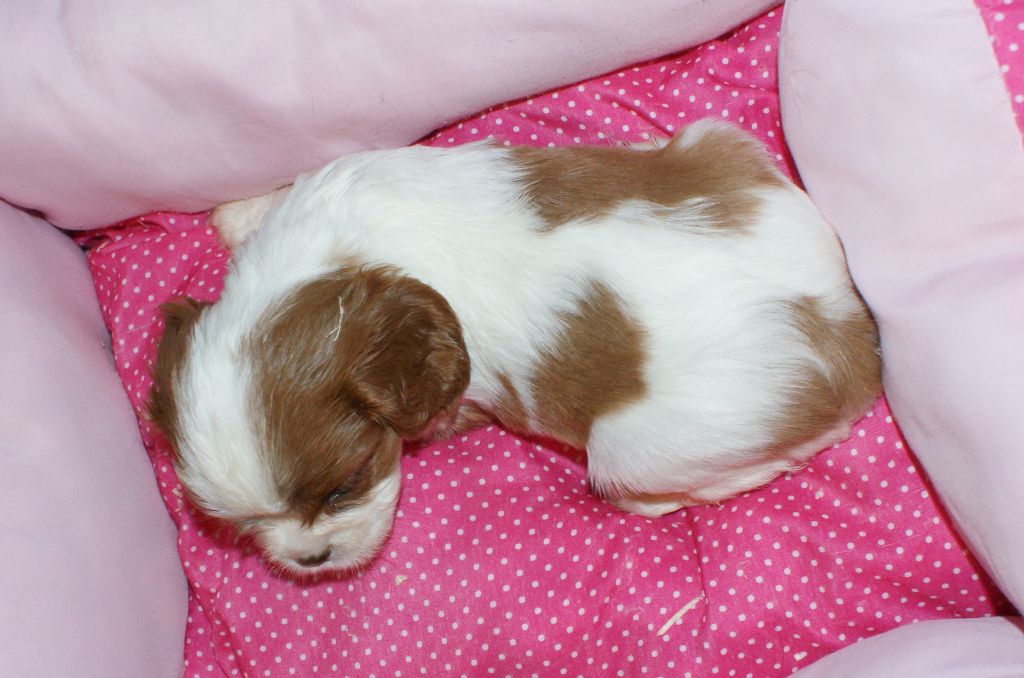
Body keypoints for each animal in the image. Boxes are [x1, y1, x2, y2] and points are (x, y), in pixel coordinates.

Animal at [148, 120, 881, 577]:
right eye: (241, 524)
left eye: (344, 488)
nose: (309, 559)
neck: (342, 260)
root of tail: (847, 323)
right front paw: (239, 213)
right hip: (718, 139)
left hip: (629, 450)